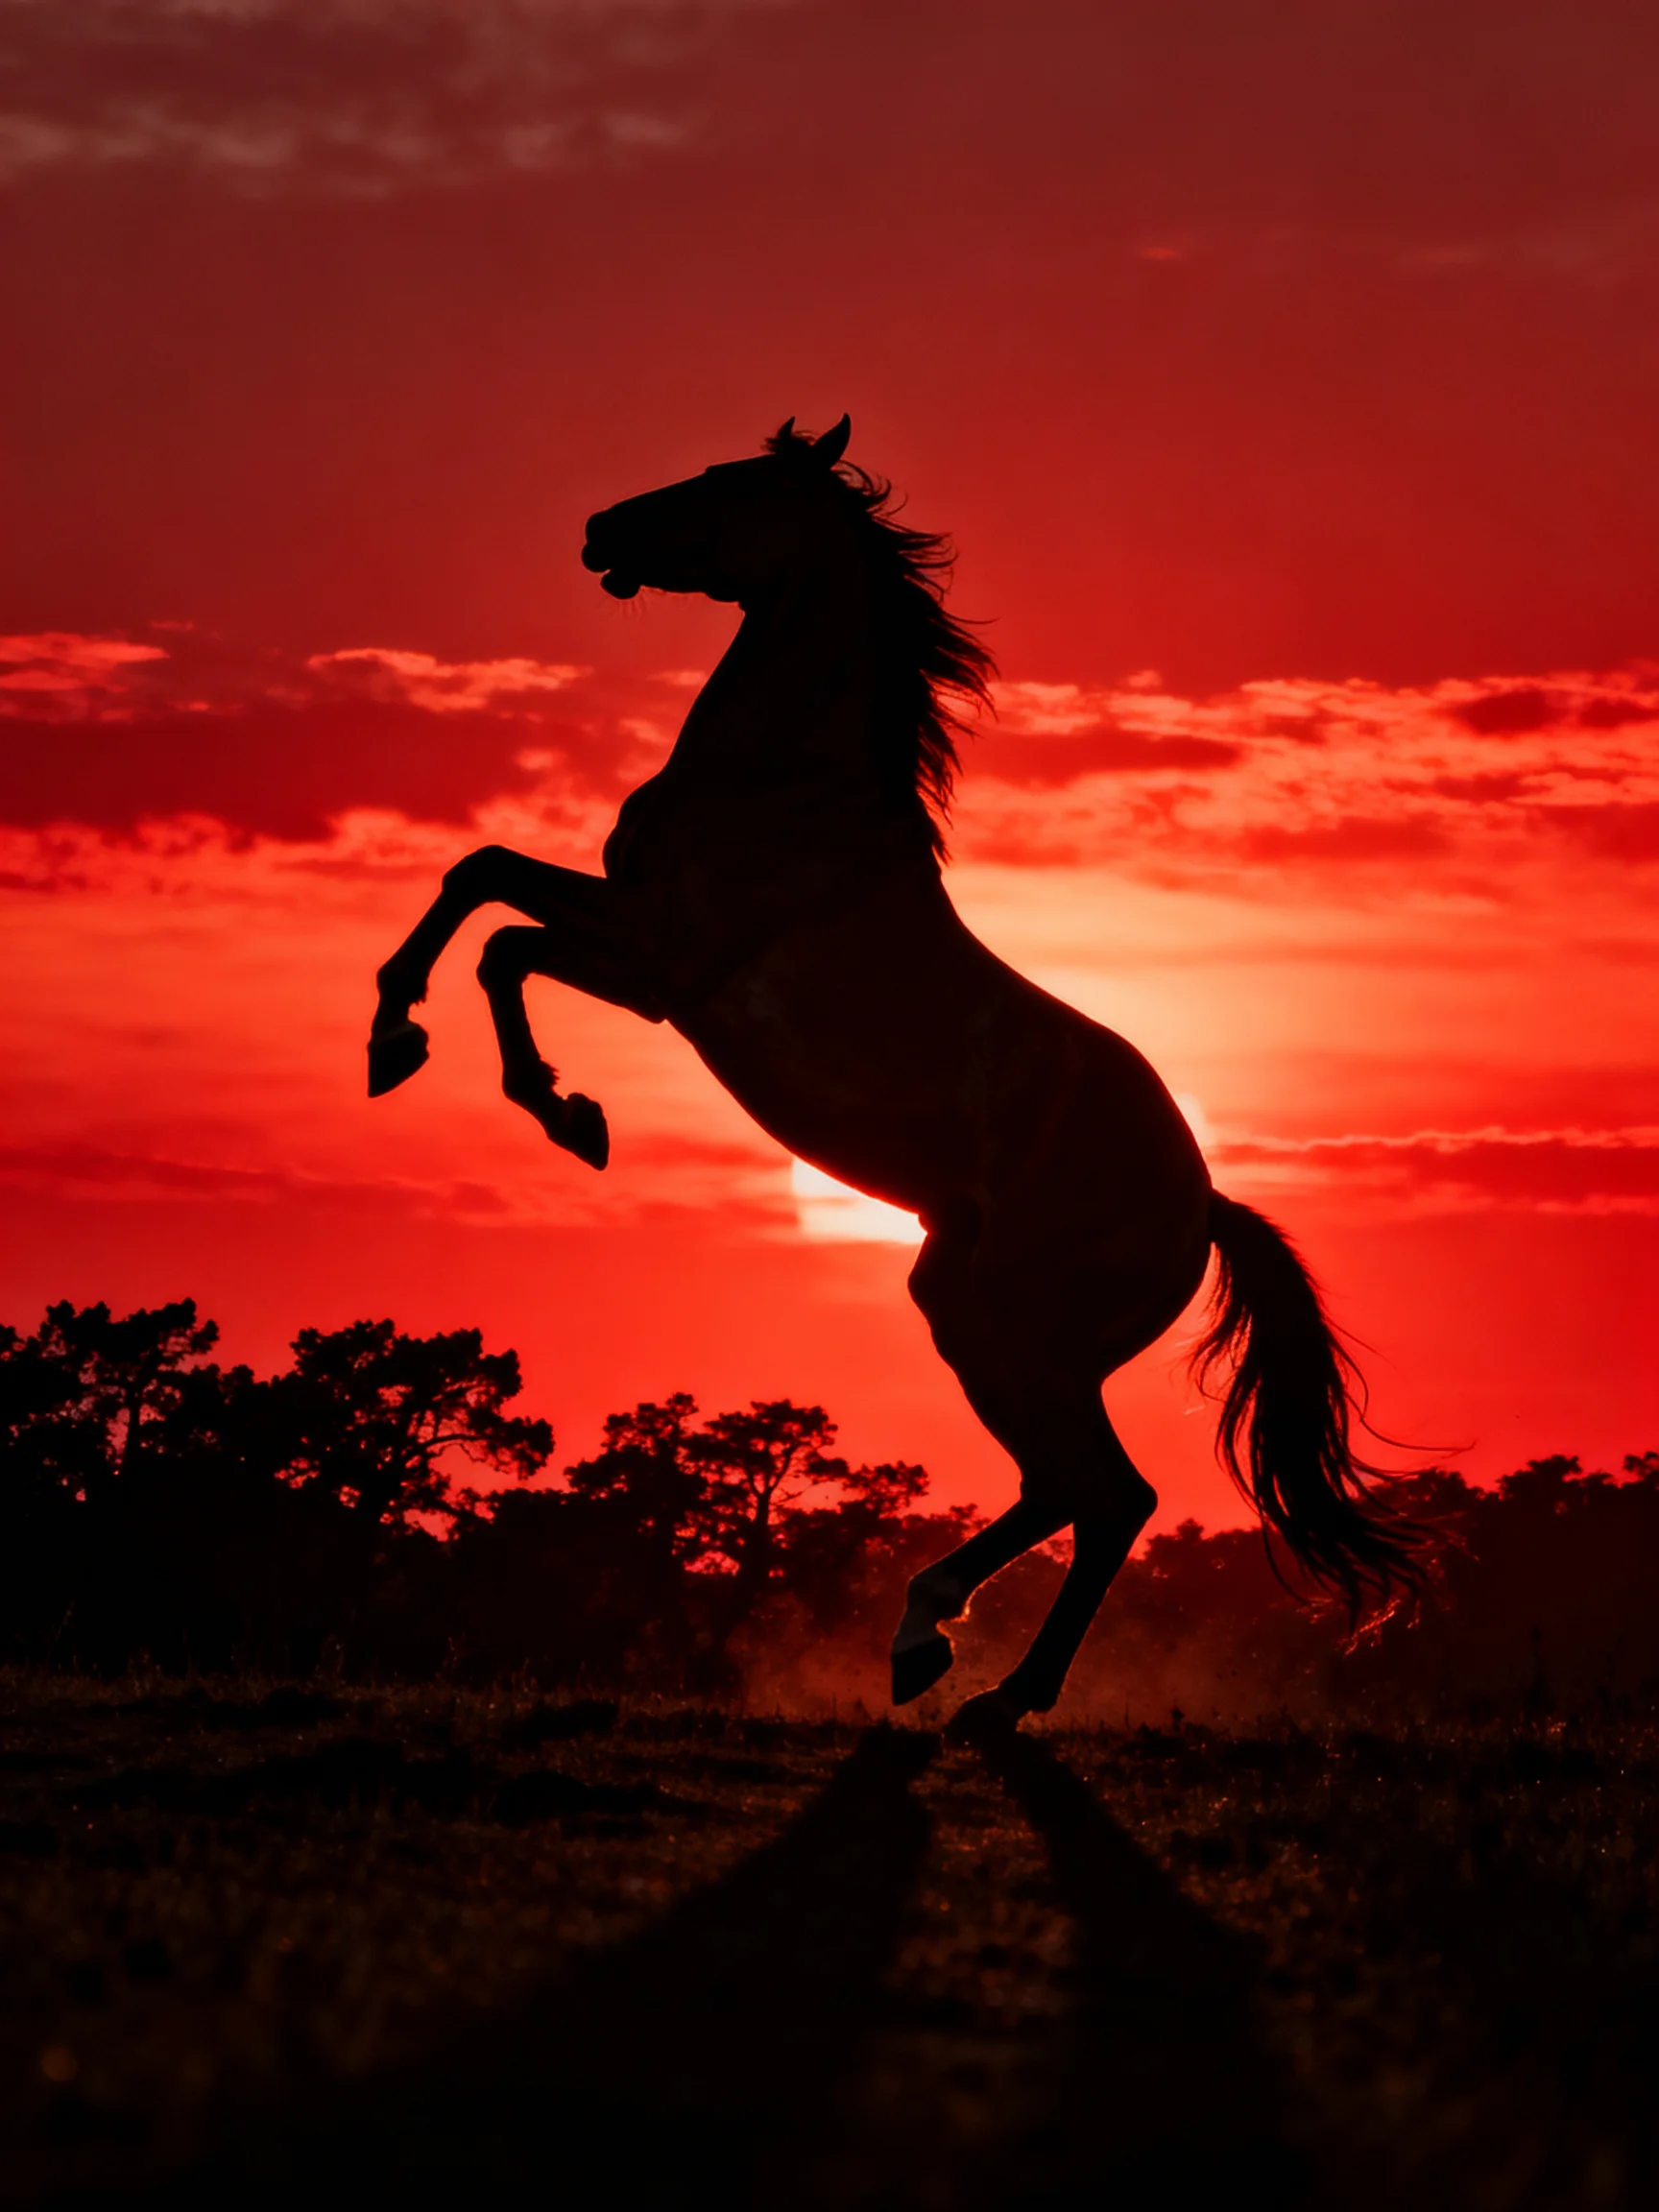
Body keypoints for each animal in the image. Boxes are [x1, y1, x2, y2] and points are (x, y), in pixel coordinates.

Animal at [367, 415, 1422, 1731]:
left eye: (731, 486)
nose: (600, 531)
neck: (784, 782)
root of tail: (1202, 1206)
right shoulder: (634, 942)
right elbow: (482, 882)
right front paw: (427, 1053)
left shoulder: (662, 961)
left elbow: (498, 924)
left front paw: (536, 1101)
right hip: (966, 1313)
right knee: (1070, 1489)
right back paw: (936, 1644)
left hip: (1026, 1332)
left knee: (1109, 1493)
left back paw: (989, 1689)